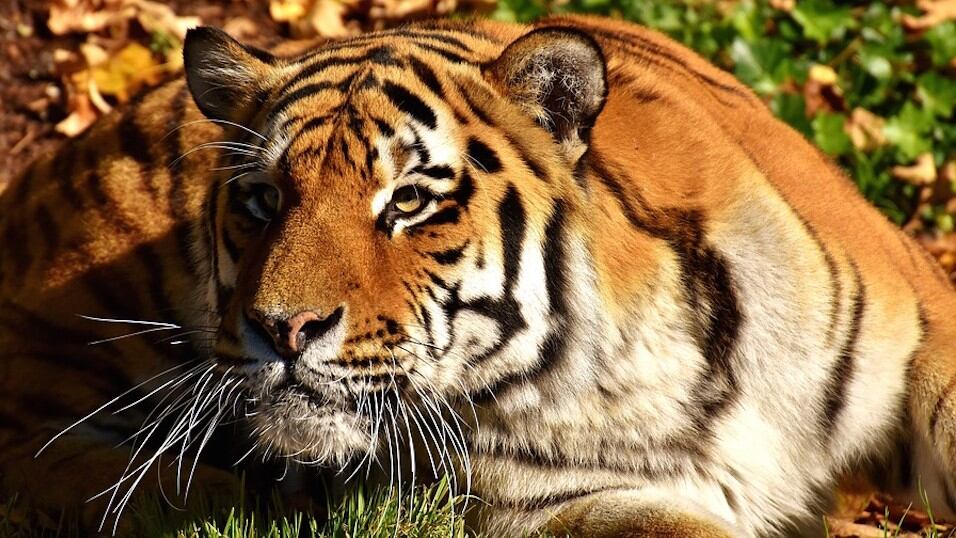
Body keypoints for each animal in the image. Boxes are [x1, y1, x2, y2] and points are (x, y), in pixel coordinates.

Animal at [2, 12, 956, 537]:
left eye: (410, 200)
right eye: (264, 198)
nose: (281, 329)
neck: (641, 357)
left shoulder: (925, 331)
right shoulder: (580, 501)